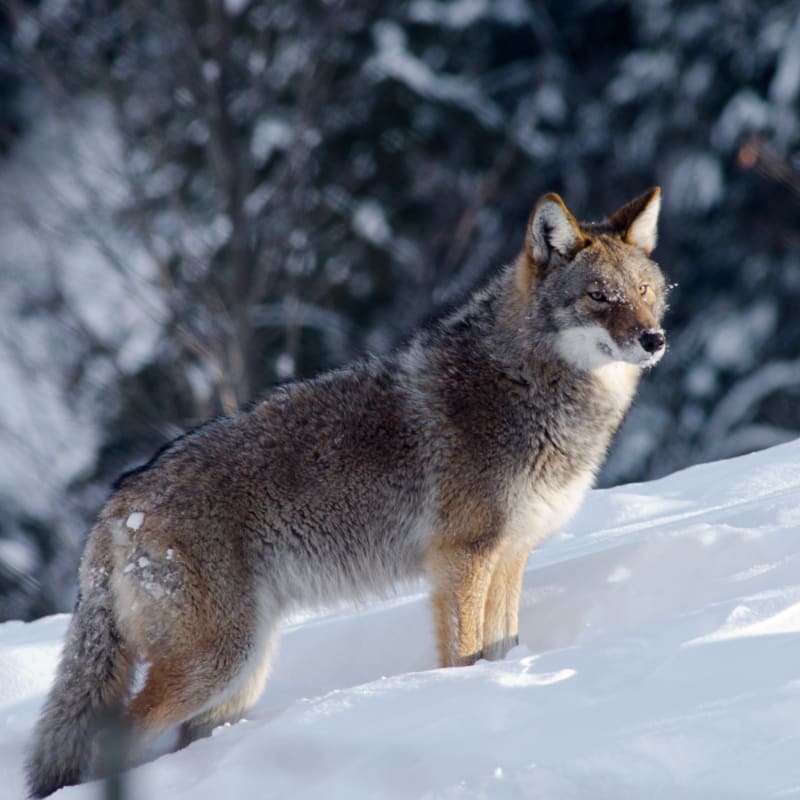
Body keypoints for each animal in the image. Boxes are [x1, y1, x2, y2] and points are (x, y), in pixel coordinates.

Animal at [27, 188, 667, 797]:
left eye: (643, 291)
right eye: (599, 297)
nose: (654, 338)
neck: (526, 382)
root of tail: (119, 500)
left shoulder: (511, 555)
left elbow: (503, 645)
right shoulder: (462, 559)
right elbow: (462, 653)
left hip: (239, 676)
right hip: (215, 663)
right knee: (117, 738)